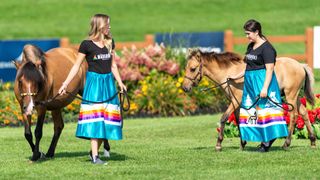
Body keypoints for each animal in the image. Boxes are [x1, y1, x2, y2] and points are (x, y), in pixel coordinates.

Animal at [181, 48, 316, 151]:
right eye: (186, 68)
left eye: (192, 68)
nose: (185, 87)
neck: (230, 74)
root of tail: (300, 65)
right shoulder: (236, 102)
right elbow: (237, 121)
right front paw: (242, 143)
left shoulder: (235, 102)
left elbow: (224, 118)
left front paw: (219, 144)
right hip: (295, 97)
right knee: (304, 113)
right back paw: (313, 141)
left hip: (290, 96)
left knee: (293, 116)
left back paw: (286, 144)